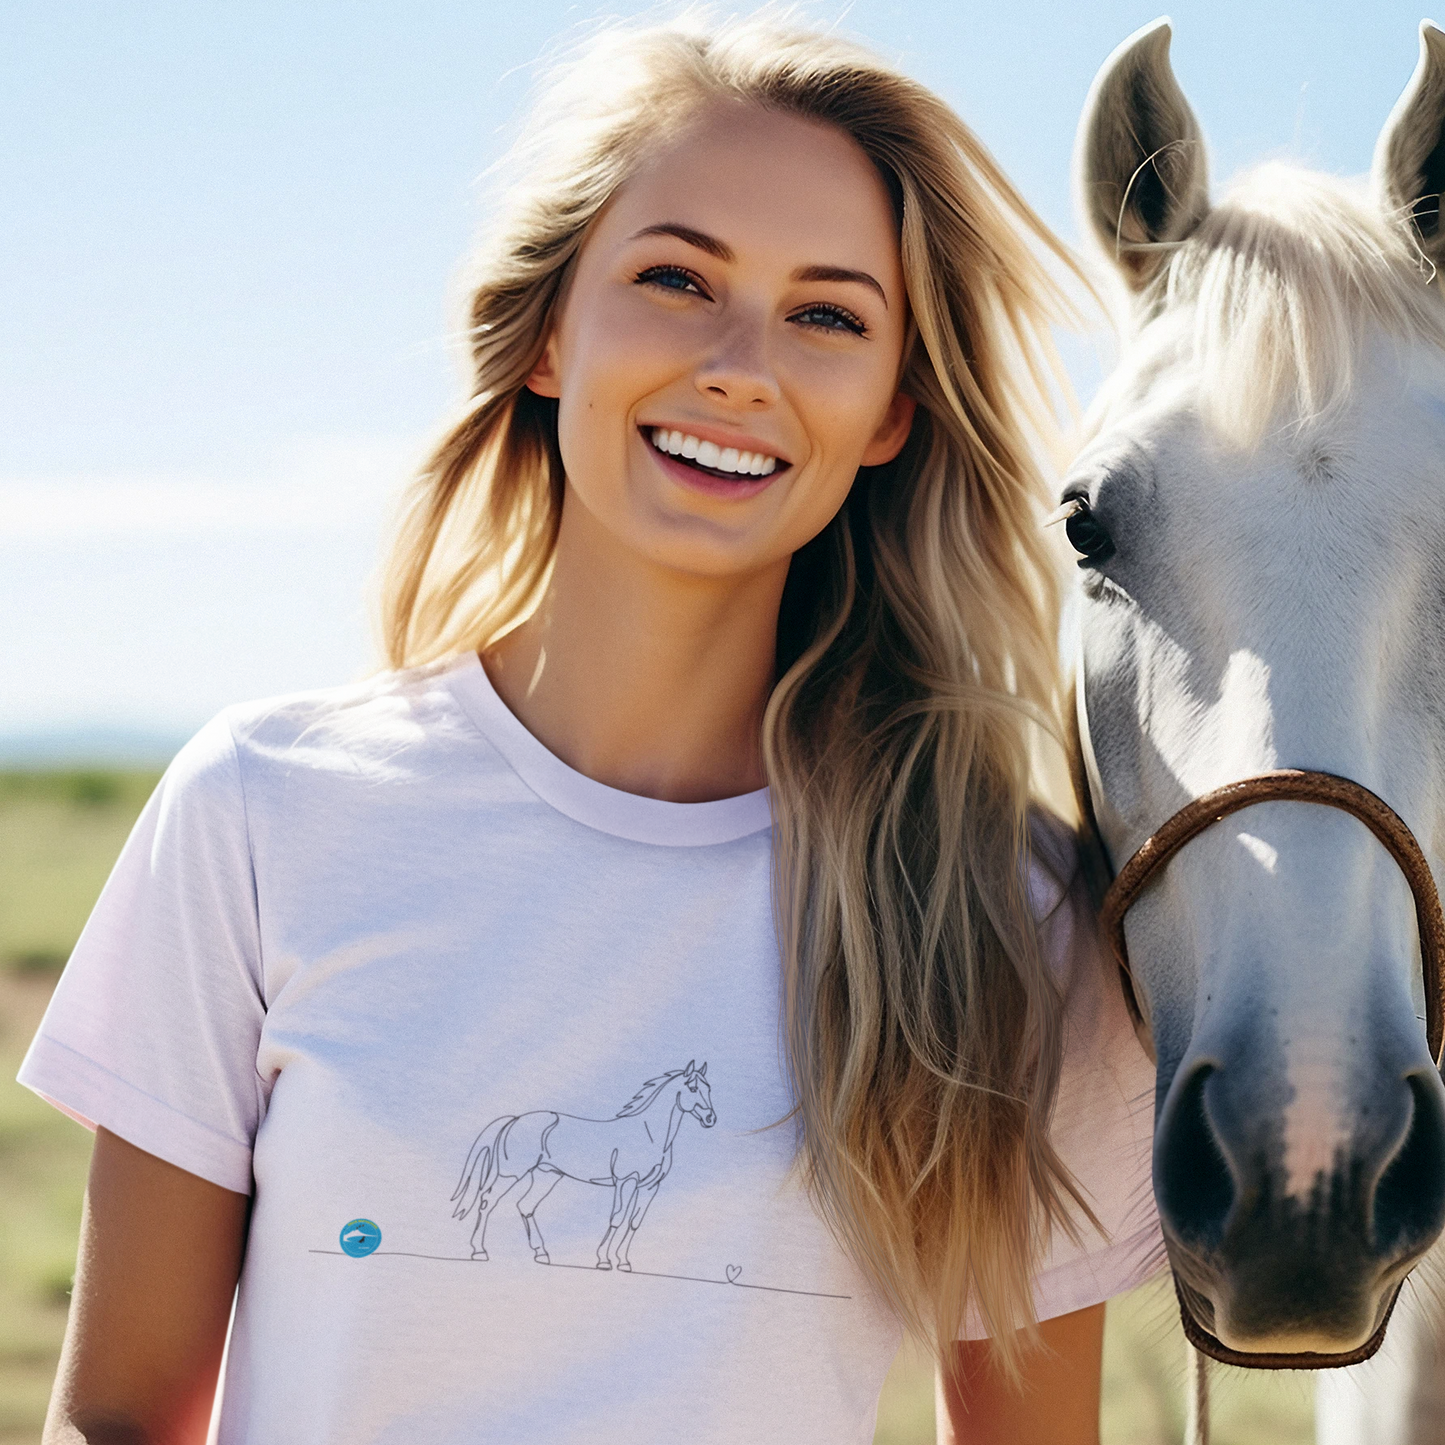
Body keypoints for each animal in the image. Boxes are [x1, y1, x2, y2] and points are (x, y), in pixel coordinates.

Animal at [451, 1060, 716, 1272]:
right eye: (693, 1088)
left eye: (709, 1088)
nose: (711, 1119)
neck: (649, 1135)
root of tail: (513, 1120)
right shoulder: (626, 1181)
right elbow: (617, 1217)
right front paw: (603, 1261)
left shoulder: (650, 1187)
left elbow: (634, 1222)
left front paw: (624, 1262)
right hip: (511, 1174)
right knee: (487, 1201)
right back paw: (479, 1252)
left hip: (548, 1175)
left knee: (525, 1206)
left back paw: (541, 1254)